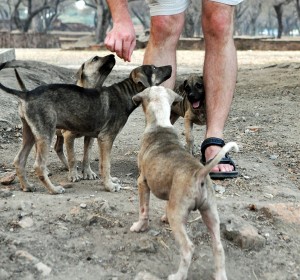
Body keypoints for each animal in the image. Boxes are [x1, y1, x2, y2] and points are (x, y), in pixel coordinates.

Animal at [0, 64, 172, 194]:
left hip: (29, 133)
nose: (170, 66)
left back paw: (27, 186)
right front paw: (109, 186)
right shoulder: (106, 138)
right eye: (154, 68)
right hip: (45, 134)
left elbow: (97, 161)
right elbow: (106, 164)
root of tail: (27, 93)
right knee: (39, 165)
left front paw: (108, 180)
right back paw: (54, 189)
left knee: (19, 160)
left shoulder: (96, 138)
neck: (126, 93)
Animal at [131, 86, 237, 280]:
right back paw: (219, 275)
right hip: (210, 213)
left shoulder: (142, 182)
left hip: (179, 217)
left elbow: (143, 210)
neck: (160, 122)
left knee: (188, 248)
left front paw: (139, 227)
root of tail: (199, 174)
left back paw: (178, 275)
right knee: (218, 246)